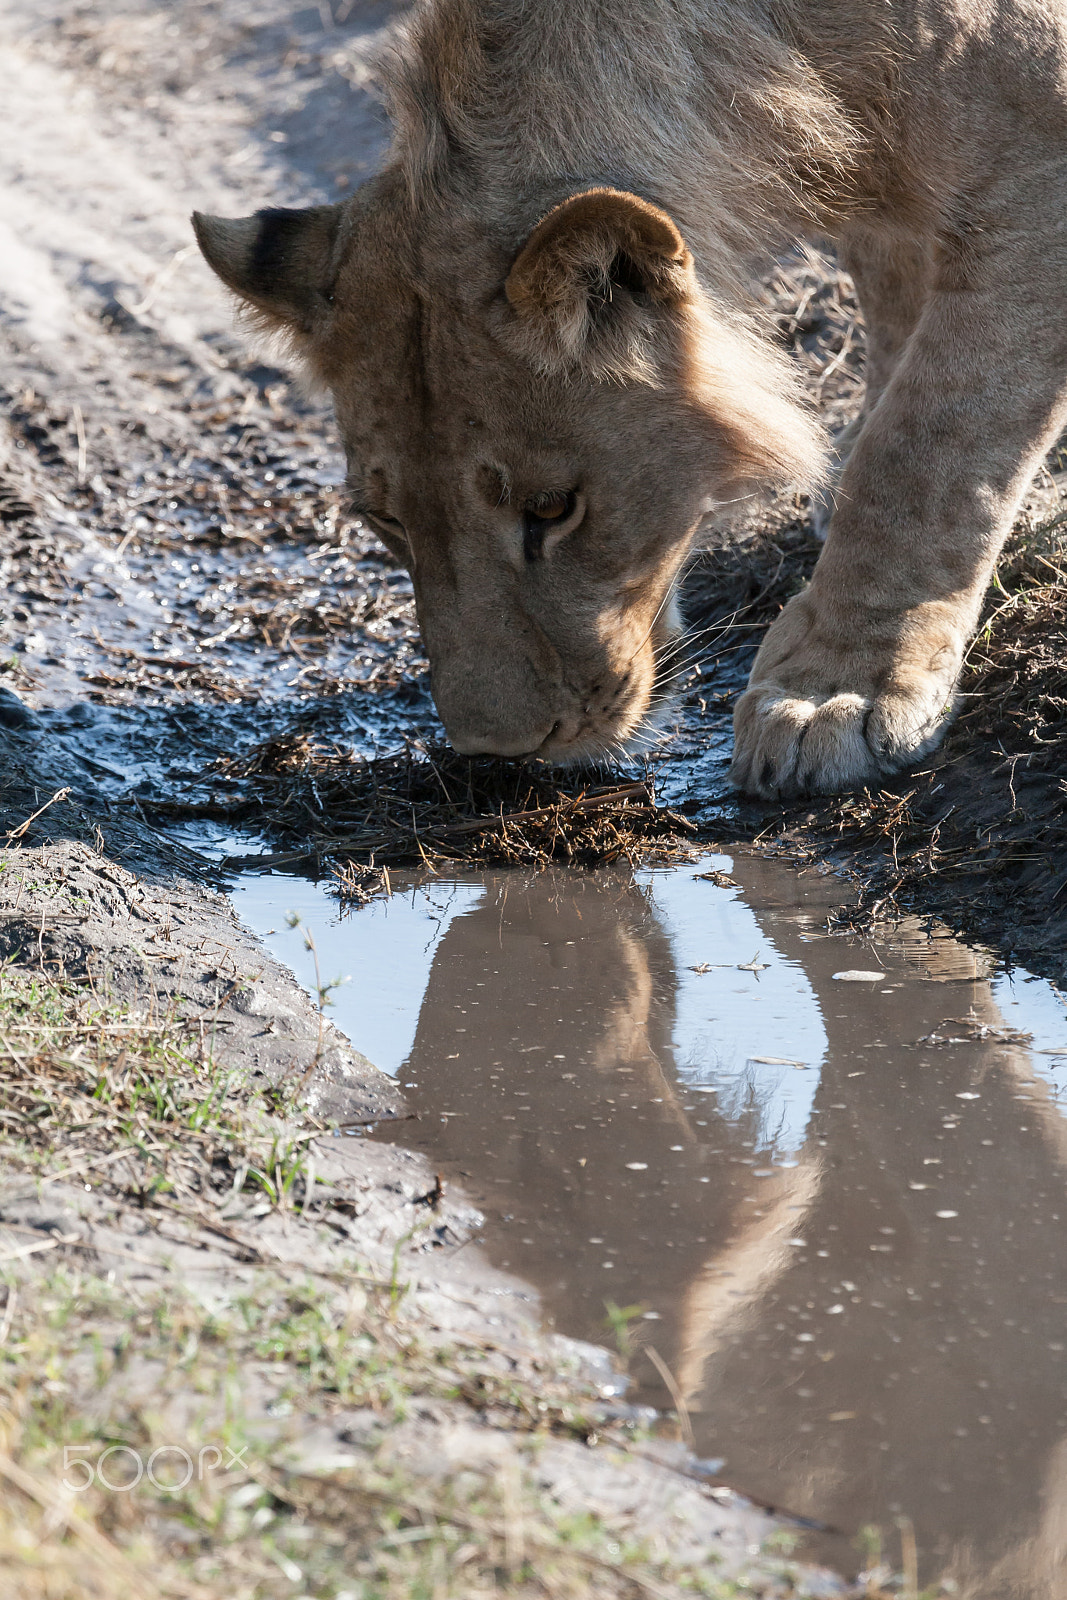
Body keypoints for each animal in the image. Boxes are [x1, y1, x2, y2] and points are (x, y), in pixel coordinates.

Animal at [194, 0, 1067, 797]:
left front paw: (832, 692)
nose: (501, 754)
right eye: (387, 521)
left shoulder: (1038, 167)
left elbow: (929, 446)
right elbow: (891, 297)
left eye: (552, 510)